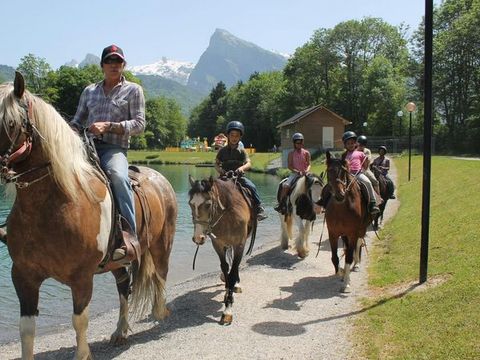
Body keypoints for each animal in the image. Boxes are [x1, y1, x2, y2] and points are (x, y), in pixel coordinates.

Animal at [0, 71, 176, 358]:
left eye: (11, 122)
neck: (54, 205)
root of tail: (161, 180)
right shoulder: (23, 275)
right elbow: (26, 329)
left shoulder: (81, 277)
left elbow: (79, 320)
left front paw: (82, 354)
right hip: (118, 261)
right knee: (123, 287)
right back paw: (120, 331)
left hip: (161, 245)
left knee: (160, 276)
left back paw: (160, 313)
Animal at [188, 175, 256, 326]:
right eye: (190, 204)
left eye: (208, 204)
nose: (198, 238)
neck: (228, 215)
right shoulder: (218, 244)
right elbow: (225, 267)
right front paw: (227, 293)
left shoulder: (239, 245)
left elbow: (234, 270)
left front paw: (228, 310)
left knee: (235, 267)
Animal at [322, 150, 372, 292]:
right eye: (329, 171)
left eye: (343, 171)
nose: (340, 195)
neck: (341, 209)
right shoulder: (333, 233)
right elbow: (335, 258)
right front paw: (342, 273)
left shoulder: (352, 233)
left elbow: (349, 256)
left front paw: (346, 283)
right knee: (346, 247)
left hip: (361, 229)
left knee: (358, 244)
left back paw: (357, 264)